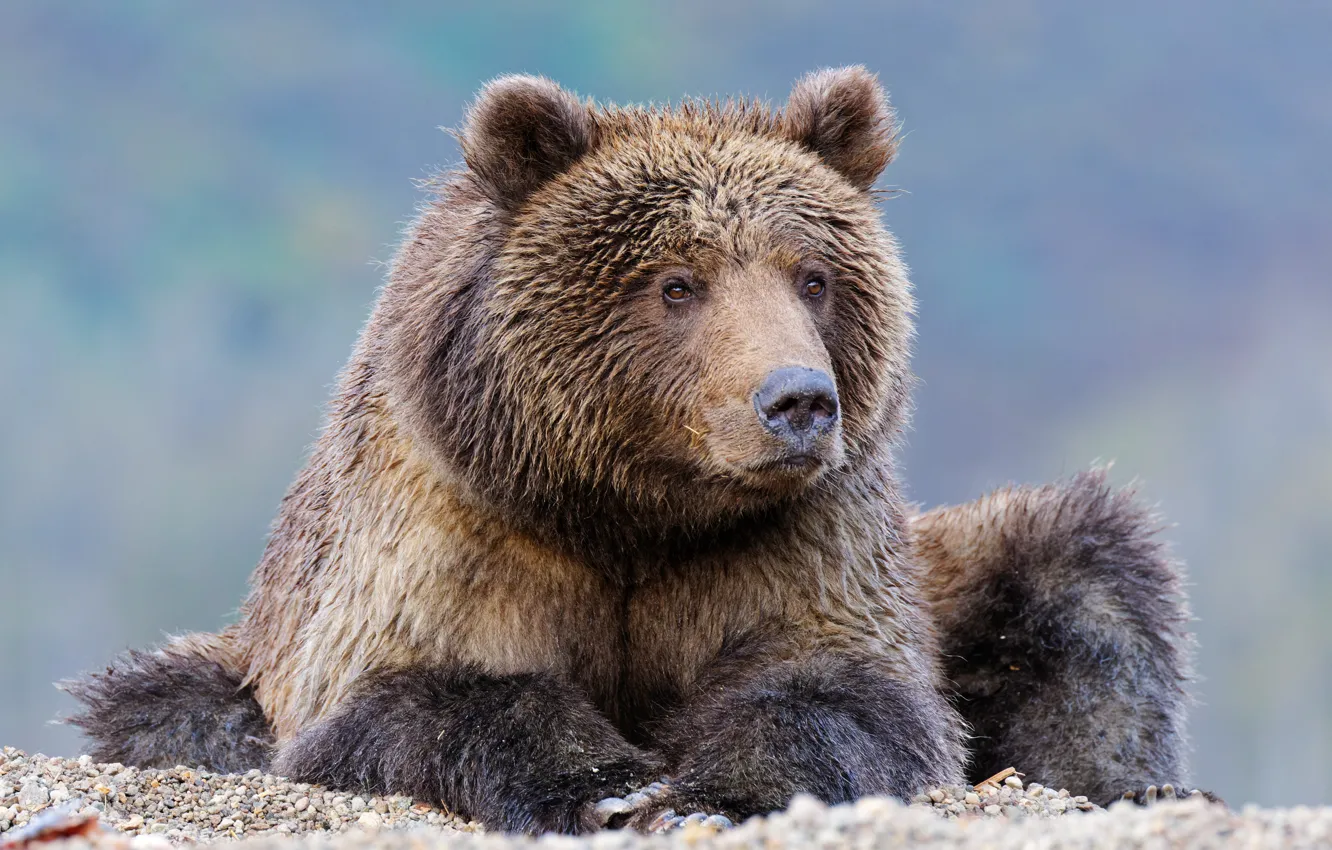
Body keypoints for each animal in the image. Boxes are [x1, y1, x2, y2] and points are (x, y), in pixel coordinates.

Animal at [64, 68, 1196, 833]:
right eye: (676, 282)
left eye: (813, 275)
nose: (798, 400)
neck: (635, 511)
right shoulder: (454, 527)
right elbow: (429, 685)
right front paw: (606, 785)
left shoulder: (799, 539)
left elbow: (834, 687)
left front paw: (713, 791)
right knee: (164, 708)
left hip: (952, 565)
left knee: (1082, 570)